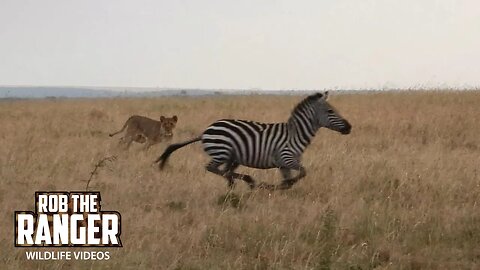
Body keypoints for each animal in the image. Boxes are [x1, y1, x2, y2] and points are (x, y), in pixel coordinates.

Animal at [156, 92, 350, 191]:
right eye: (331, 111)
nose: (349, 127)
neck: (295, 134)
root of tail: (205, 131)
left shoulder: (284, 165)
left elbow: (293, 177)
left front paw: (280, 187)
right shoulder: (286, 158)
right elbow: (303, 172)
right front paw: (273, 186)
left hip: (232, 157)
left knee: (226, 171)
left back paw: (234, 185)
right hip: (222, 152)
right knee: (212, 168)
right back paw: (247, 181)